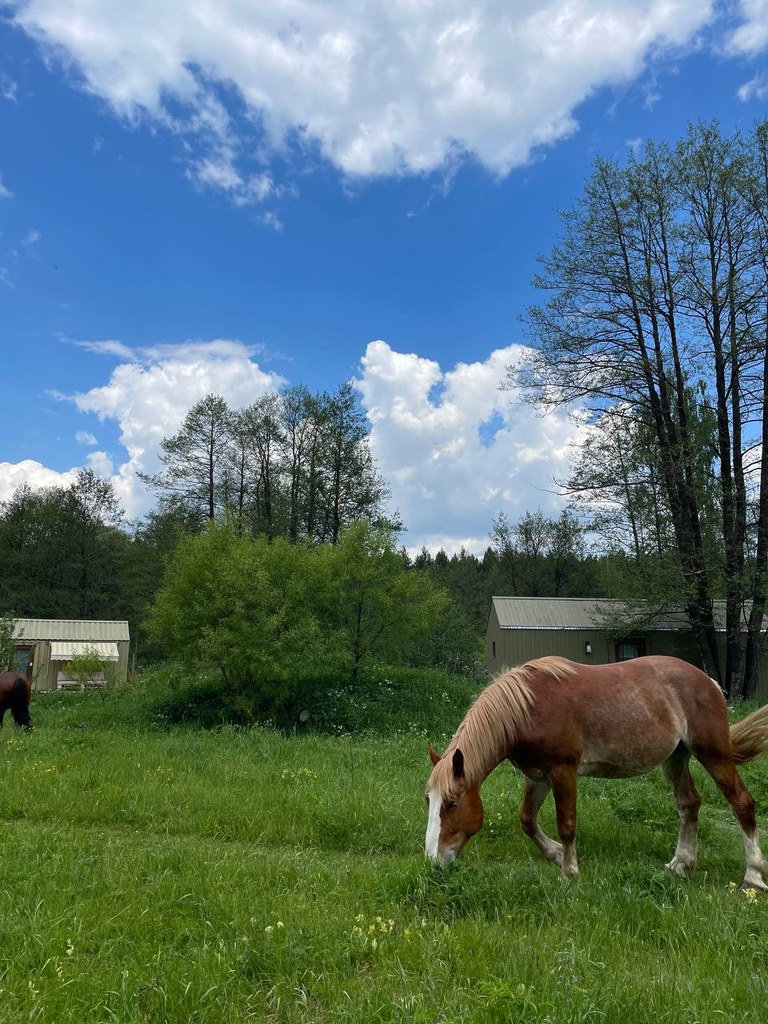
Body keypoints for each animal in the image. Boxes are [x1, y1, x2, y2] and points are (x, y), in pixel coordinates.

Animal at [425, 655, 768, 890]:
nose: (433, 861)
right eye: (429, 800)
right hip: (675, 758)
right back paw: (681, 864)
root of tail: (709, 681)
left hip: (713, 753)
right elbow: (527, 820)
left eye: (452, 803)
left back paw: (753, 875)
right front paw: (555, 854)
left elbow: (566, 825)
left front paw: (569, 871)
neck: (527, 708)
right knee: (689, 804)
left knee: (741, 803)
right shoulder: (537, 776)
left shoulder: (563, 772)